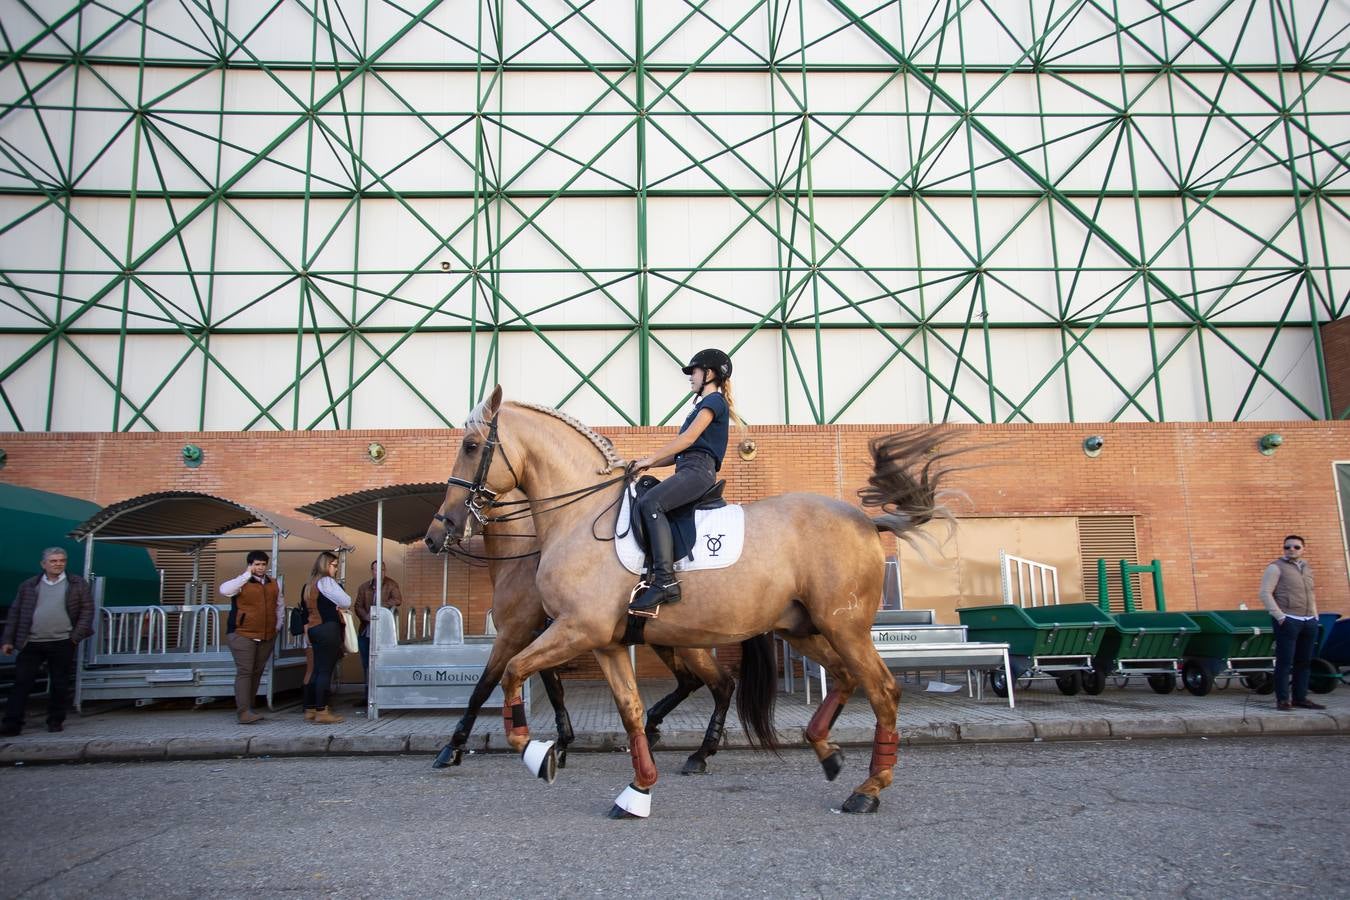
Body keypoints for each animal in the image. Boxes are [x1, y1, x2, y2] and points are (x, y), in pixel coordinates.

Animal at [432, 488, 739, 777]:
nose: (434, 537)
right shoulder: (544, 637)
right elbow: (554, 689)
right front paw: (562, 742)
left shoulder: (514, 635)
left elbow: (483, 688)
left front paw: (451, 749)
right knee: (691, 681)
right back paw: (656, 729)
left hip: (683, 641)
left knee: (720, 683)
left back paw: (698, 752)